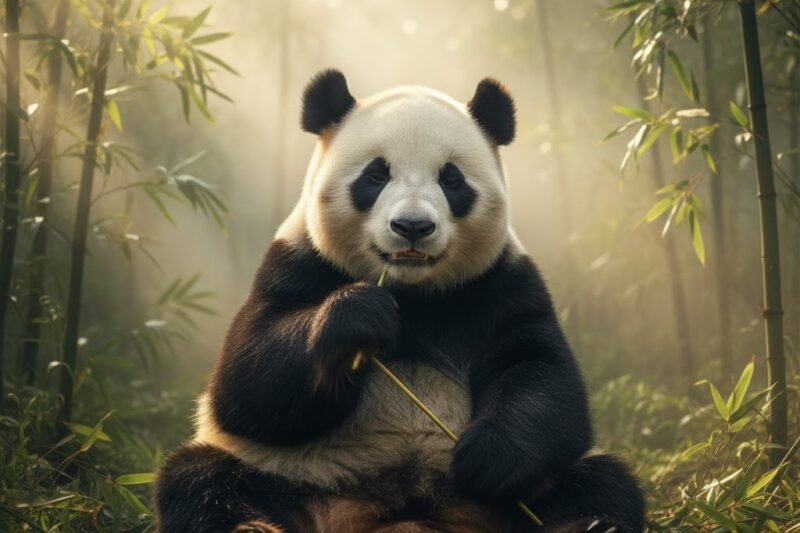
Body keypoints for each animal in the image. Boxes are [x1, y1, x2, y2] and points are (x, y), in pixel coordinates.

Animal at [154, 70, 645, 533]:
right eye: (376, 174)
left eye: (451, 179)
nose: (412, 226)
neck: (412, 293)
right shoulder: (295, 264)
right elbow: (246, 385)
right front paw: (359, 317)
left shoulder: (501, 285)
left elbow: (541, 373)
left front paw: (489, 456)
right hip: (288, 474)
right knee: (201, 477)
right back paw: (251, 526)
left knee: (602, 481)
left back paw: (588, 525)